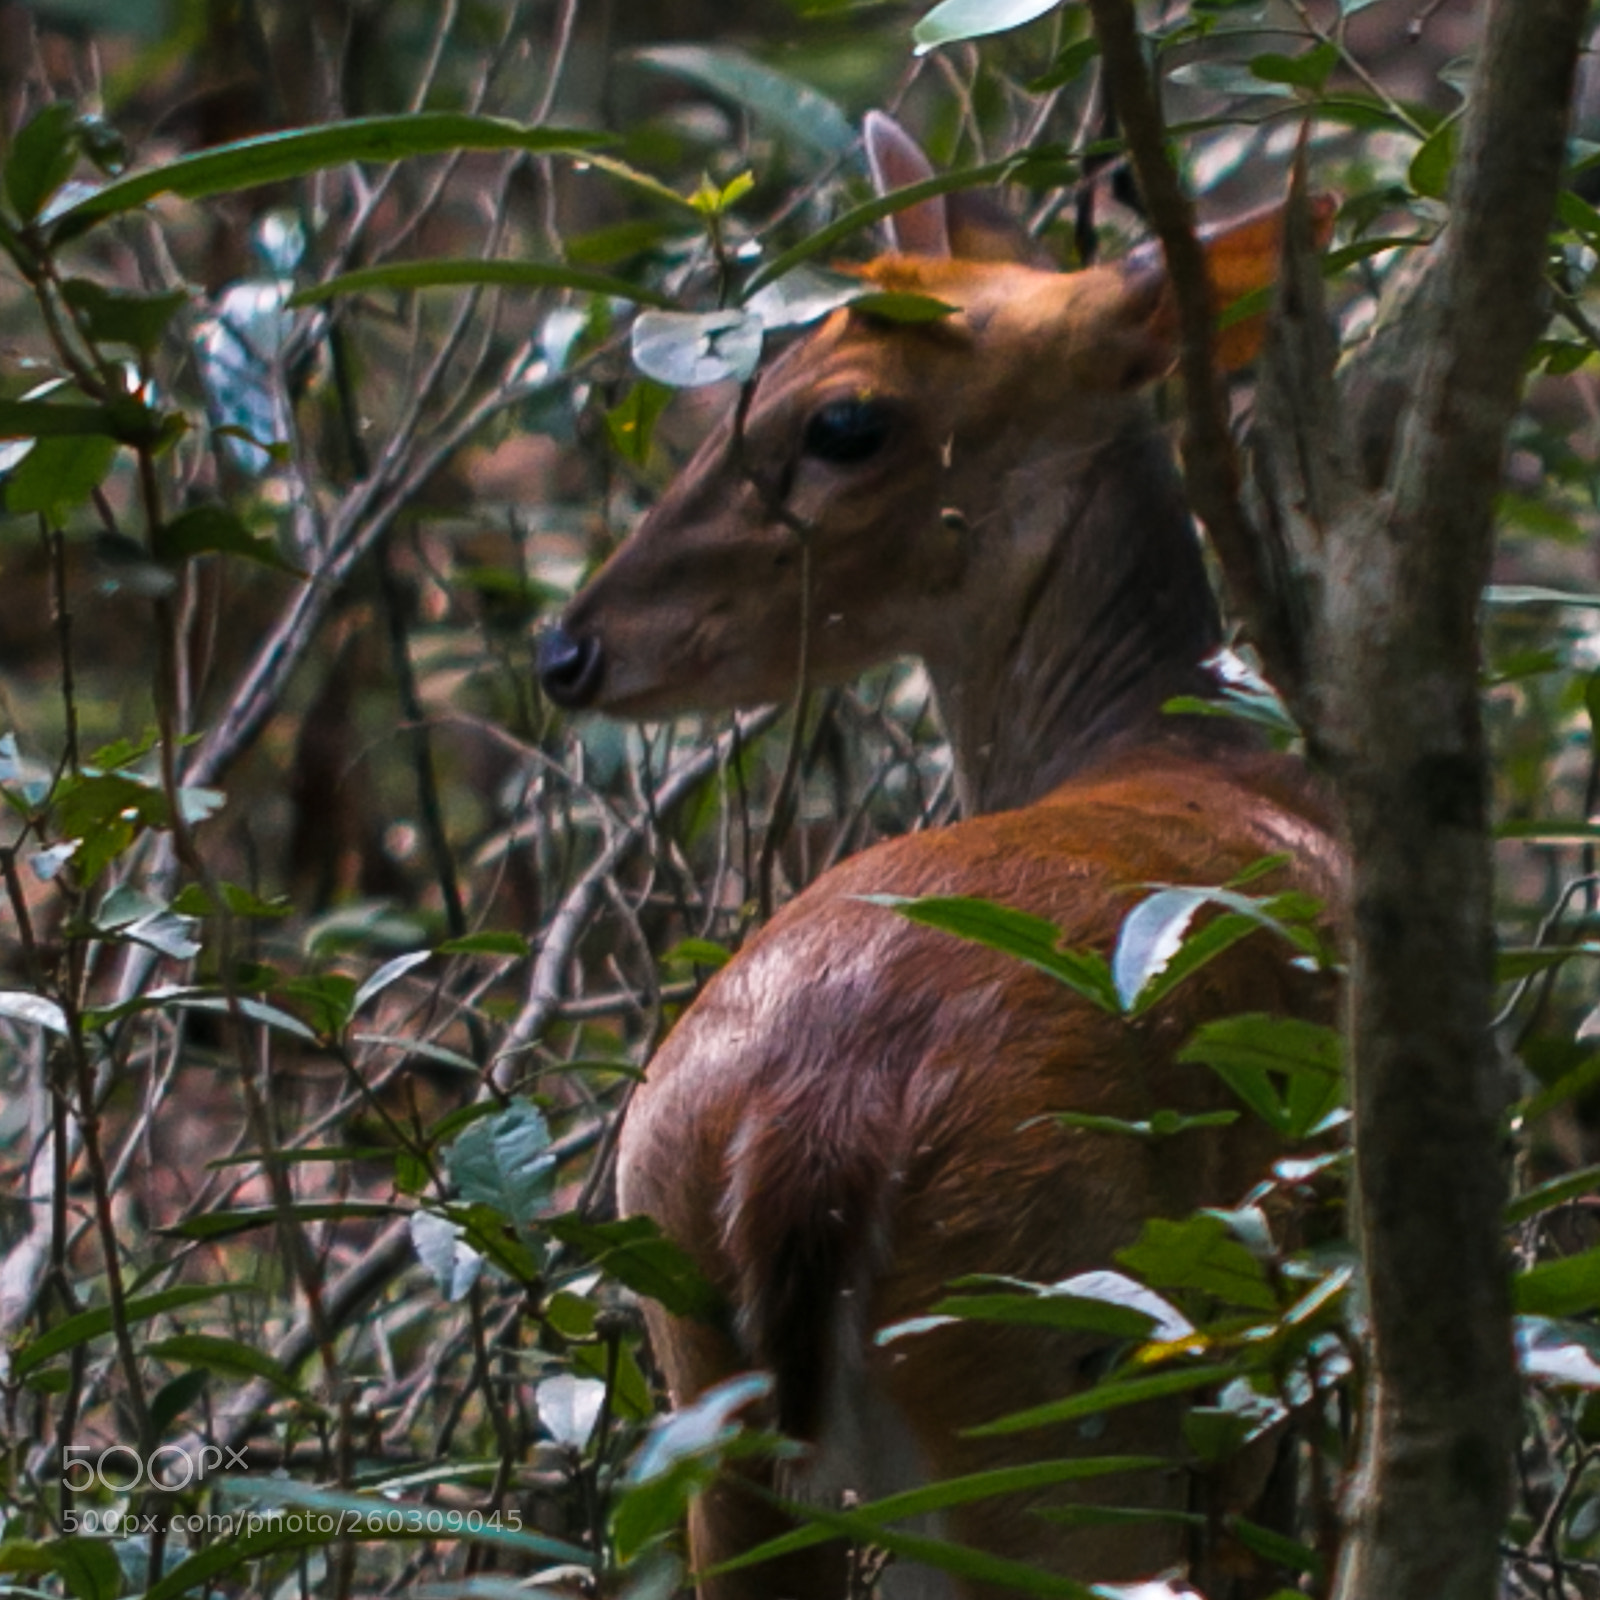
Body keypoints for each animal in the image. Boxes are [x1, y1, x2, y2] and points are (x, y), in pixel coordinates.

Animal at [537, 114, 1344, 1600]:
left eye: (841, 420)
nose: (570, 648)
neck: (1173, 744)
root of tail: (808, 1126)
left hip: (707, 1379)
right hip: (1056, 1370)